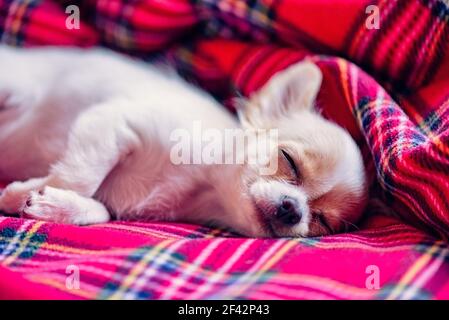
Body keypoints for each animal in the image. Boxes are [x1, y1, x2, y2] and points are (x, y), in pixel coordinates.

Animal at [0, 46, 366, 239]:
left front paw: (54, 204)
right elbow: (80, 178)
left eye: (320, 221)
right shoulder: (112, 122)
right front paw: (21, 192)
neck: (199, 185)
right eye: (288, 160)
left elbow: (101, 210)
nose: (293, 210)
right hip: (16, 86)